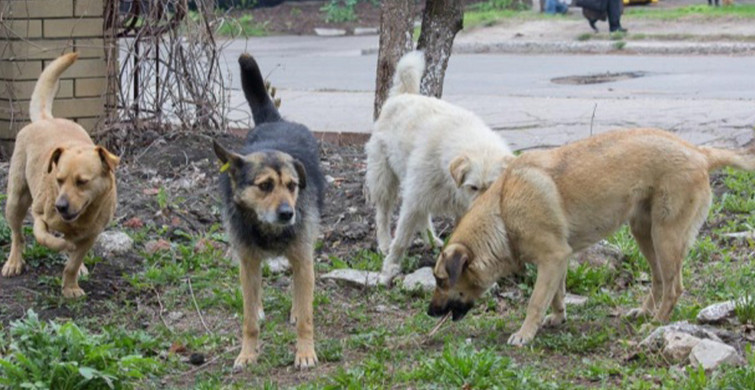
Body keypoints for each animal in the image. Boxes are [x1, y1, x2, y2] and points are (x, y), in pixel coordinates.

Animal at [2, 53, 119, 298]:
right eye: (58, 180)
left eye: (82, 182)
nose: (60, 206)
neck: (80, 218)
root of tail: (46, 119)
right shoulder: (39, 215)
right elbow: (45, 237)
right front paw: (62, 246)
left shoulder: (91, 235)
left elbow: (73, 263)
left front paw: (71, 286)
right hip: (16, 200)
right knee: (18, 235)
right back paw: (14, 262)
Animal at [213, 54, 324, 368]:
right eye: (264, 185)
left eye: (292, 185)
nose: (288, 213)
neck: (268, 229)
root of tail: (276, 121)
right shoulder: (248, 261)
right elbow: (249, 319)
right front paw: (247, 353)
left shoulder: (303, 257)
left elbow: (307, 316)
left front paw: (305, 353)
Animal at [366, 51, 512, 284]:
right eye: (473, 187)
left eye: (493, 187)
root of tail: (402, 95)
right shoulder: (413, 200)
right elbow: (402, 239)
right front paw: (390, 267)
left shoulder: (460, 208)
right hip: (385, 178)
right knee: (383, 212)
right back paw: (384, 242)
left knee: (423, 216)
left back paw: (432, 240)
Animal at [432, 129, 755, 346]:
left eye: (441, 280)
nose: (429, 311)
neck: (503, 211)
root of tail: (699, 152)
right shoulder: (557, 261)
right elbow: (556, 295)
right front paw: (558, 318)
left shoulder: (552, 258)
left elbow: (536, 302)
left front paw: (525, 334)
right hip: (645, 234)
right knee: (660, 280)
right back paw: (644, 312)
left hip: (666, 237)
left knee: (674, 287)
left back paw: (657, 322)